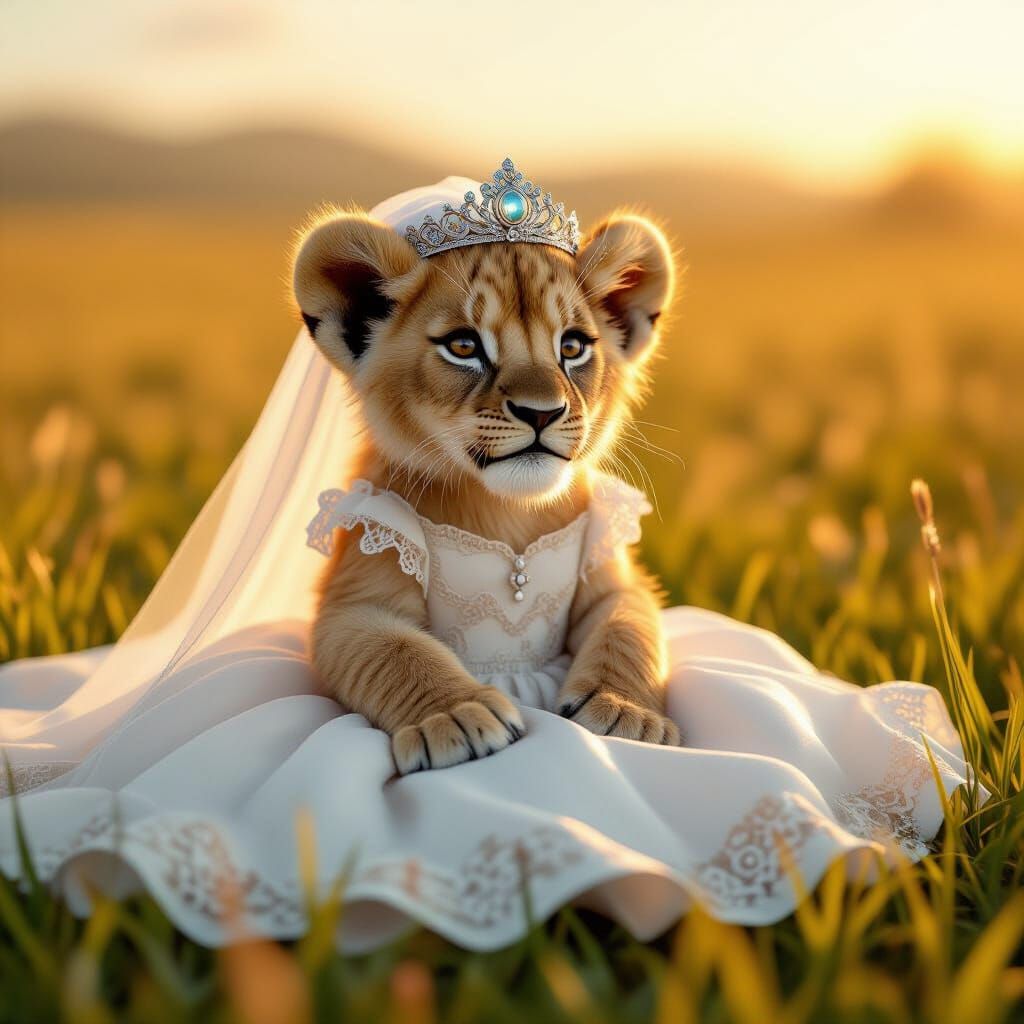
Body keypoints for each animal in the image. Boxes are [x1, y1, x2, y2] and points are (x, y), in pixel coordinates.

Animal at [292, 201, 679, 774]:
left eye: (572, 346)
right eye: (463, 345)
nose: (542, 413)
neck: (509, 509)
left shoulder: (610, 572)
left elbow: (629, 628)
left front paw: (626, 713)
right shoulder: (357, 590)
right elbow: (397, 651)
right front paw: (456, 717)